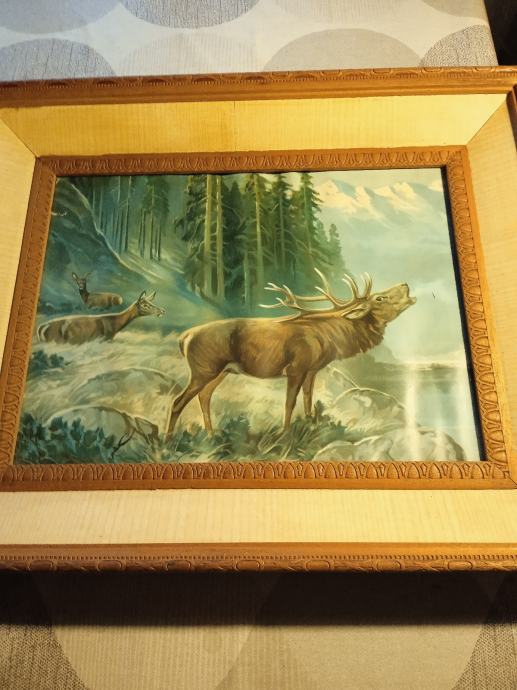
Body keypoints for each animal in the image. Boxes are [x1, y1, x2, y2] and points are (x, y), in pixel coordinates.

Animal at [165, 270, 416, 439]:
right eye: (379, 298)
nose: (406, 284)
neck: (330, 340)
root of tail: (183, 338)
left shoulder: (312, 369)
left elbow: (308, 399)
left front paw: (311, 424)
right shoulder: (296, 368)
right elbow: (289, 402)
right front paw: (285, 433)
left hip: (220, 371)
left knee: (204, 397)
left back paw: (211, 434)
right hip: (203, 369)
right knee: (178, 401)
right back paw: (168, 440)